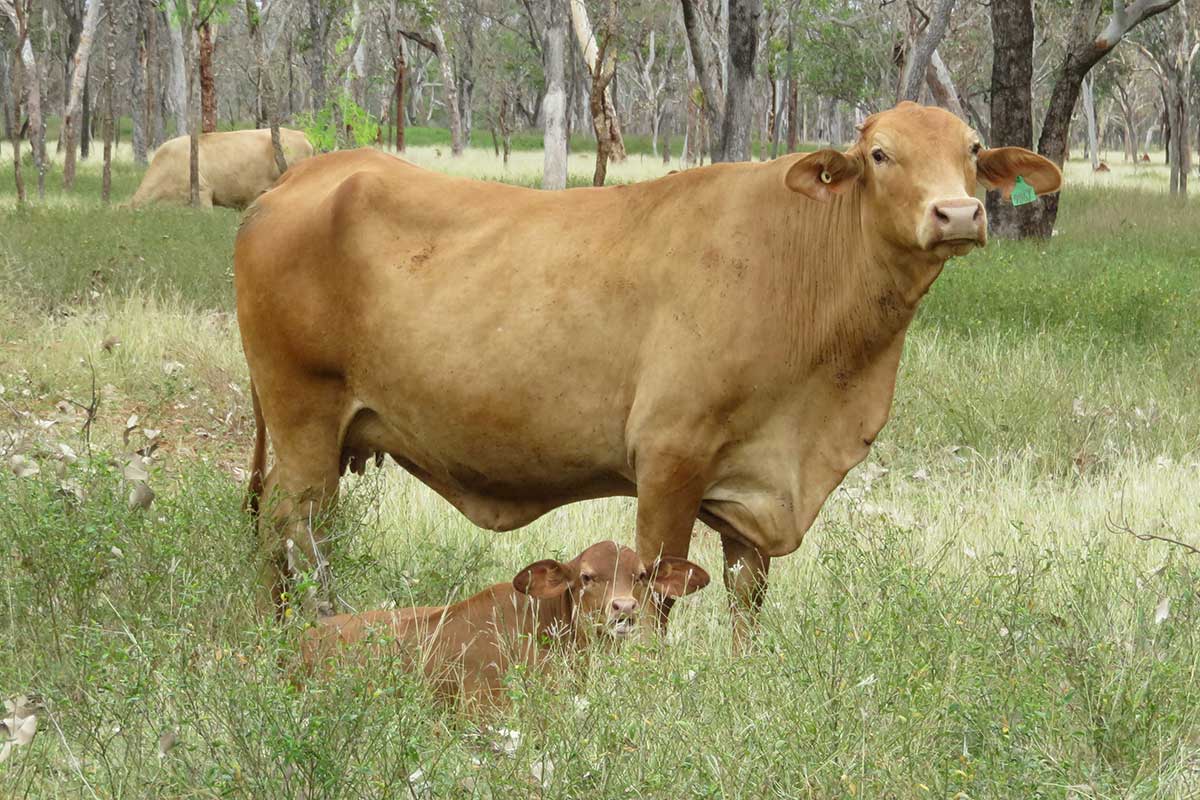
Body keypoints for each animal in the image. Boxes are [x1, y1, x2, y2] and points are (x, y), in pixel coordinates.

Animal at [236, 101, 1060, 638]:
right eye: (882, 154)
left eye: (972, 148)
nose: (958, 215)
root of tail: (300, 178)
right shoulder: (670, 459)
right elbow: (660, 589)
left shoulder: (753, 491)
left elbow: (745, 604)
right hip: (304, 425)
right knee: (290, 534)